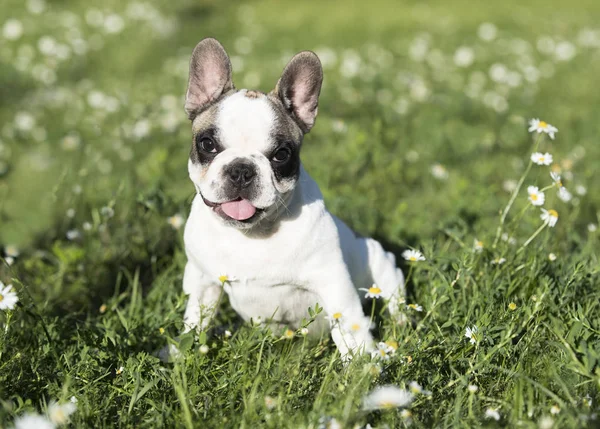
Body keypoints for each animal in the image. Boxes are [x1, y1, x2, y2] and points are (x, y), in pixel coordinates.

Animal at [179, 37, 404, 358]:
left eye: (281, 155)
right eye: (207, 144)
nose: (241, 170)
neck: (252, 234)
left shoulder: (334, 284)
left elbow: (351, 330)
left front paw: (364, 365)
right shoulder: (203, 282)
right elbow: (194, 321)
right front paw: (178, 356)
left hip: (378, 260)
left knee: (395, 293)